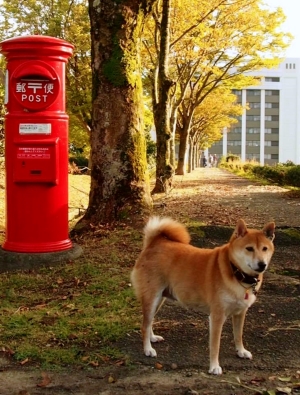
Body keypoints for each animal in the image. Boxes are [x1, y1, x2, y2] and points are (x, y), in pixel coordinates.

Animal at [130, 218, 276, 376]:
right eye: (249, 248)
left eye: (264, 249)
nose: (262, 264)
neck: (236, 272)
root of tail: (154, 243)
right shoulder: (217, 316)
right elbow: (215, 345)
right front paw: (214, 366)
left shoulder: (240, 313)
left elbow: (238, 335)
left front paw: (241, 351)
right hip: (152, 298)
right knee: (144, 325)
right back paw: (148, 349)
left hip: (159, 299)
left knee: (149, 321)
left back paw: (152, 338)